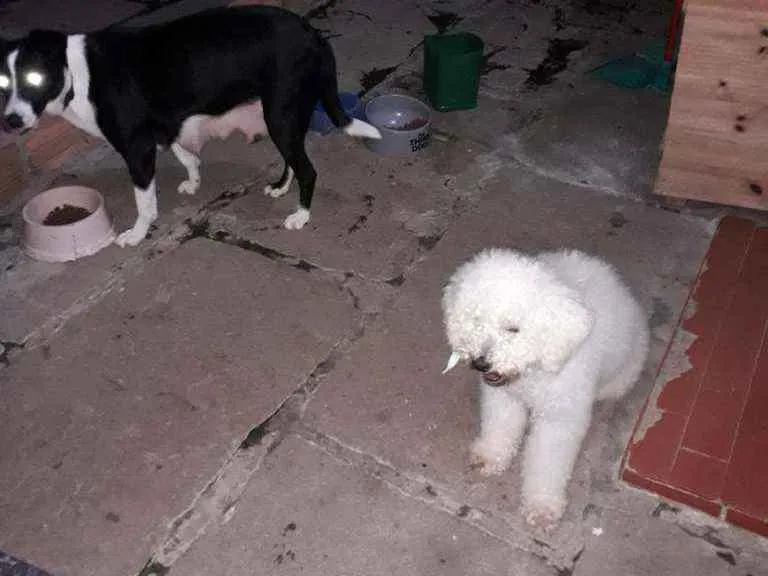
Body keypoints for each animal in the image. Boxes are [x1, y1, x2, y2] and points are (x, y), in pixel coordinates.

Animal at [0, 6, 381, 247]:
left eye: (34, 78)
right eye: (3, 81)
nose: (11, 122)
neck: (76, 75)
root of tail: (313, 33)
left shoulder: (136, 147)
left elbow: (145, 201)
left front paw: (137, 234)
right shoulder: (165, 127)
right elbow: (187, 155)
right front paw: (194, 180)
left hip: (280, 116)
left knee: (307, 169)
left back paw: (301, 215)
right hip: (282, 117)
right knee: (293, 160)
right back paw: (280, 187)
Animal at [442, 248, 649, 531]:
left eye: (513, 329)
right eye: (477, 320)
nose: (480, 363)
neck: (533, 369)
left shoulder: (559, 418)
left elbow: (548, 462)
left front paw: (541, 506)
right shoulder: (505, 398)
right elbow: (500, 428)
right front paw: (491, 456)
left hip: (620, 377)